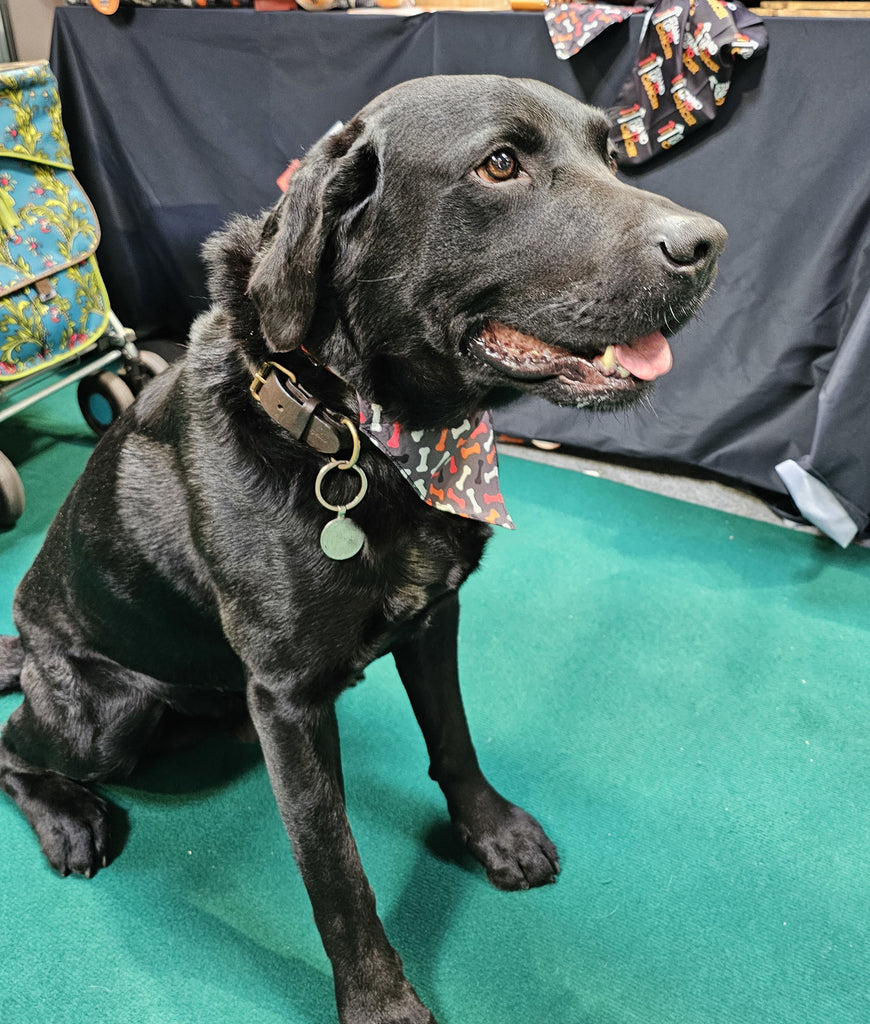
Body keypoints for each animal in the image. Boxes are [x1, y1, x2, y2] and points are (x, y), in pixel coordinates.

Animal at [0, 77, 720, 1024]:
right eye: (500, 164)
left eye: (611, 153)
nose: (708, 245)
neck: (357, 431)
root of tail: (23, 640)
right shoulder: (290, 700)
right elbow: (334, 870)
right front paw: (380, 1002)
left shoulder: (436, 618)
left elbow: (454, 738)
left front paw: (490, 833)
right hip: (102, 718)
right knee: (11, 747)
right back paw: (66, 820)